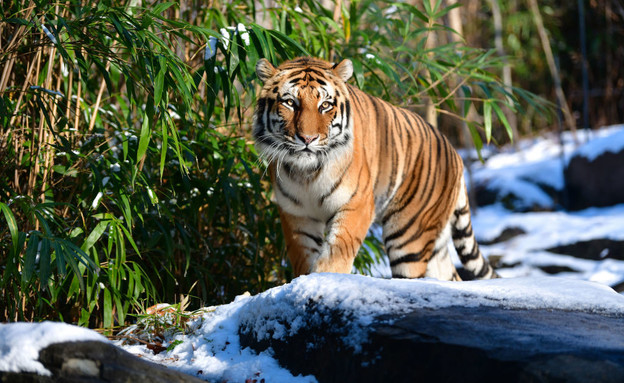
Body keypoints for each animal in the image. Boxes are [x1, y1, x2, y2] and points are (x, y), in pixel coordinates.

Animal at [251, 55, 500, 280]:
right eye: (290, 103)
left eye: (325, 105)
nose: (308, 139)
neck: (306, 173)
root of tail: (455, 154)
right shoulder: (296, 214)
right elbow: (303, 257)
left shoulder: (357, 203)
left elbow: (336, 253)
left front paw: (324, 279)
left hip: (409, 235)